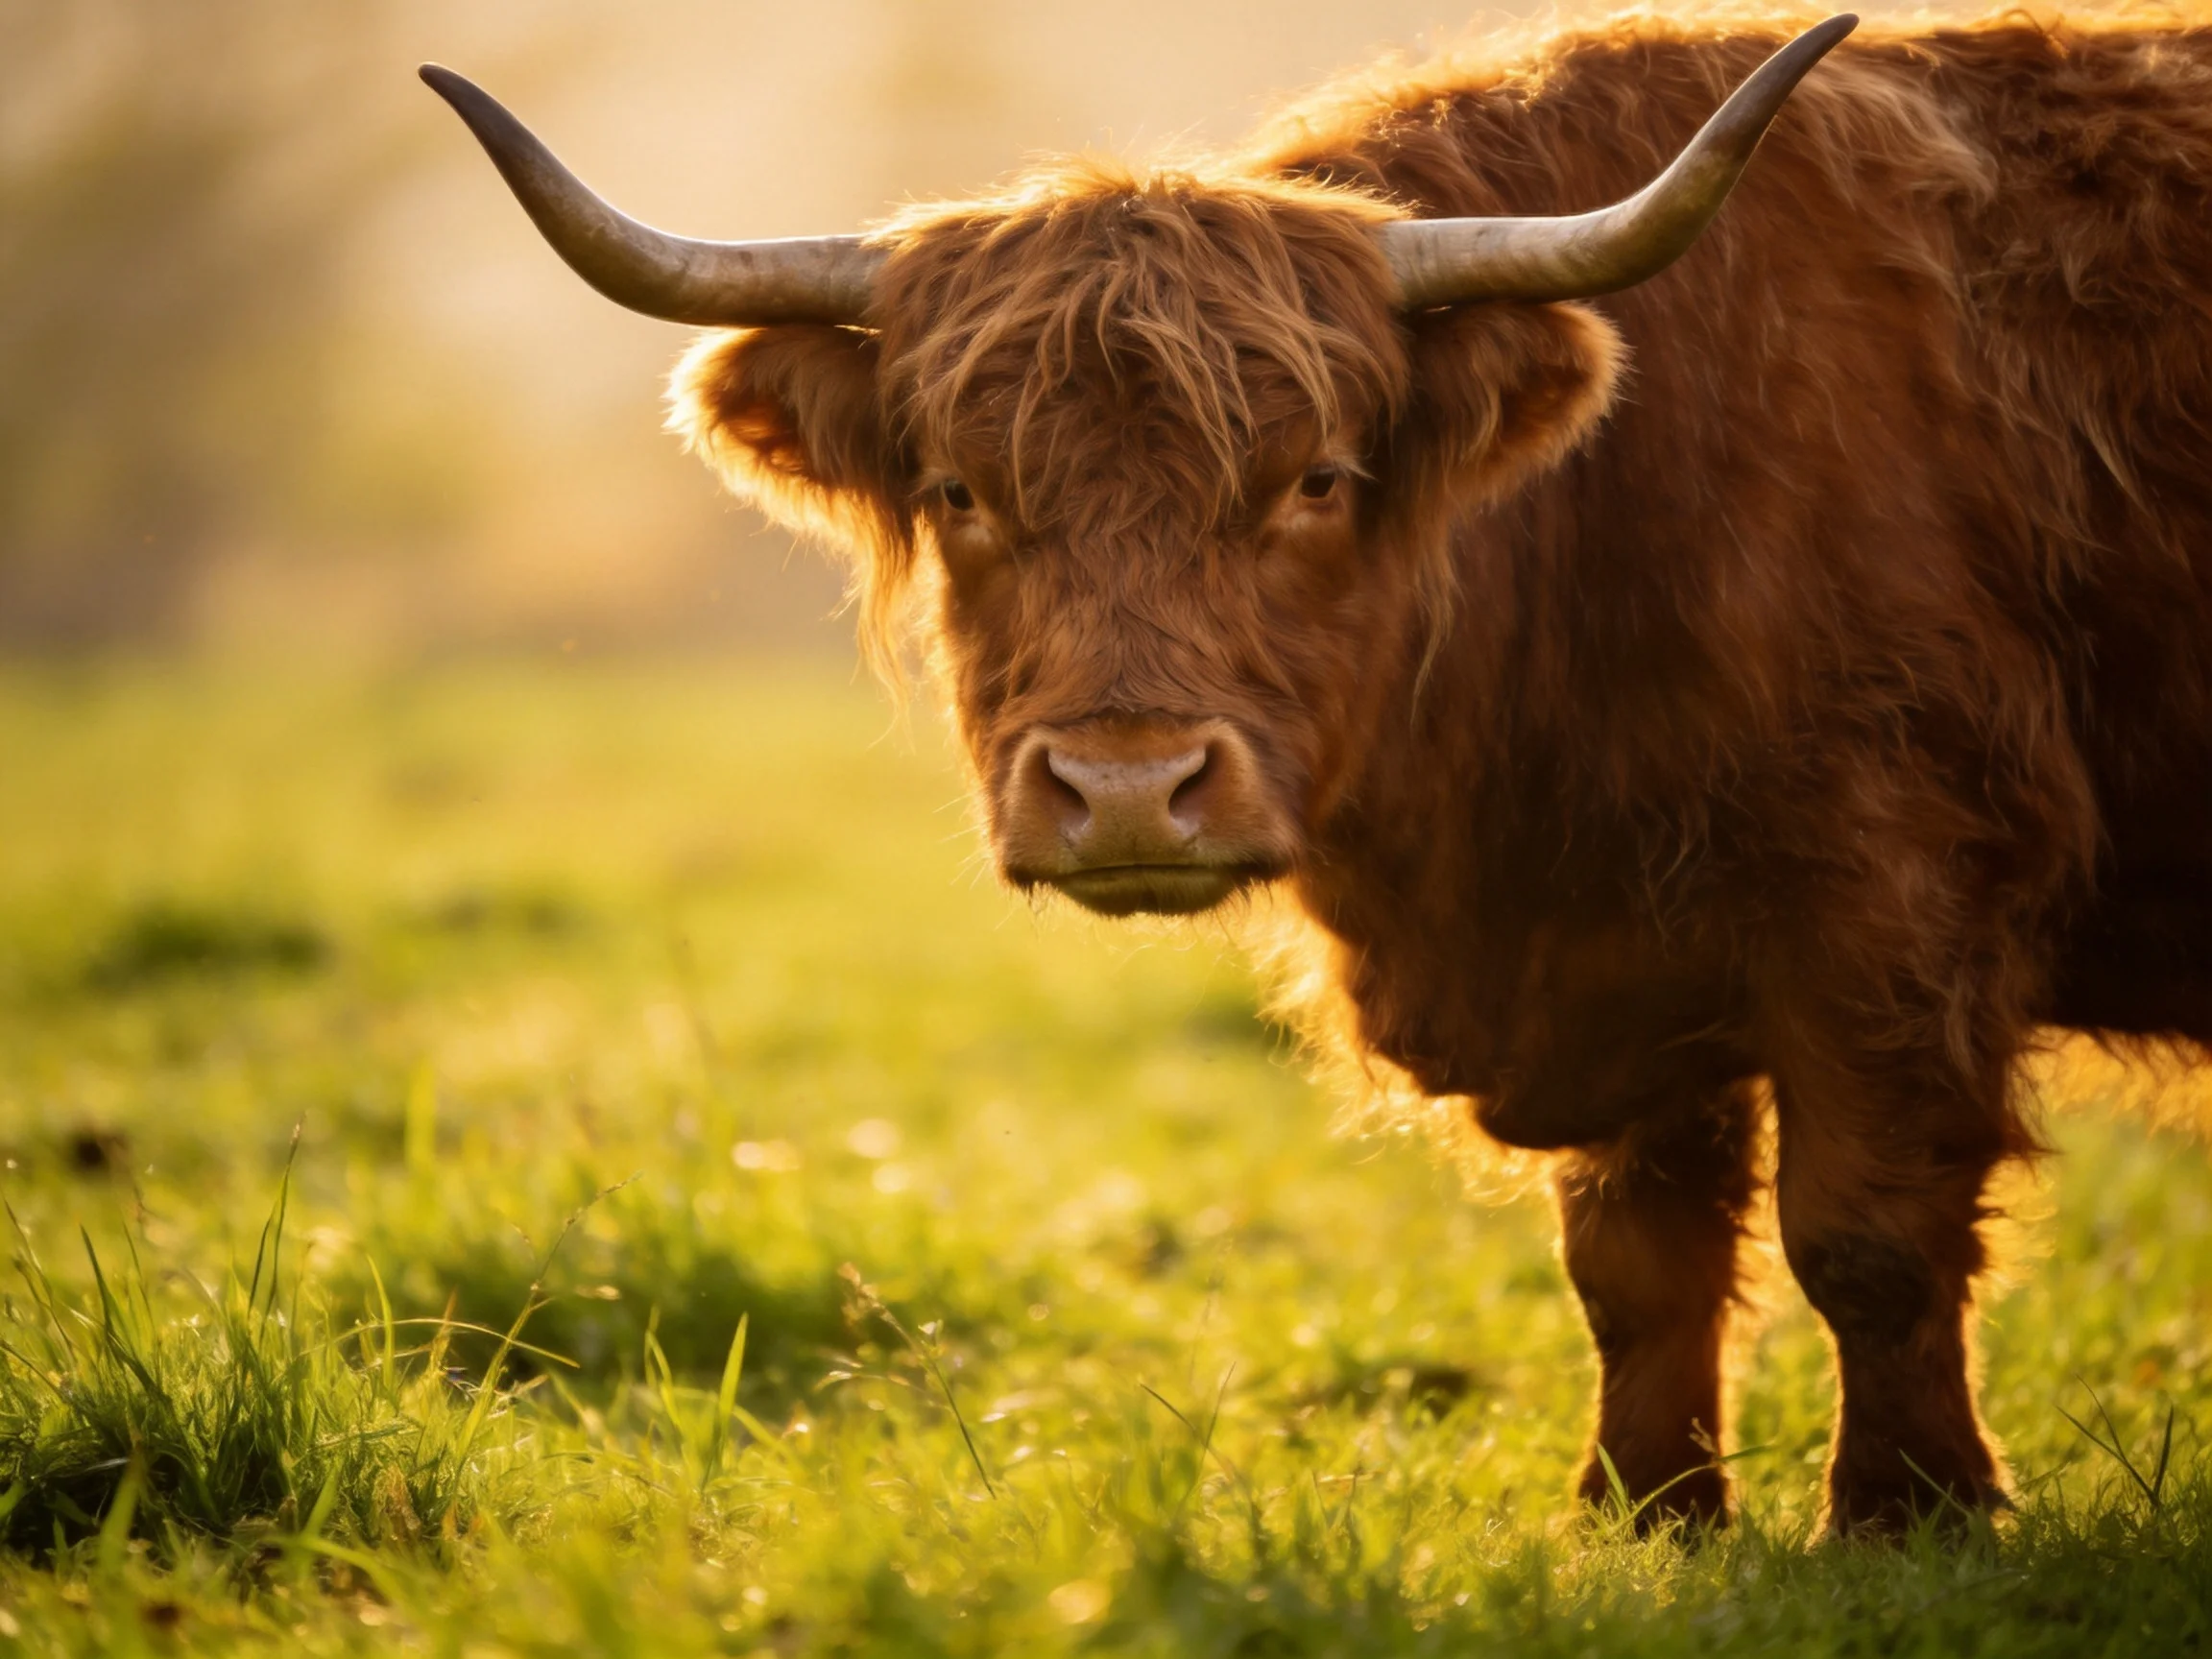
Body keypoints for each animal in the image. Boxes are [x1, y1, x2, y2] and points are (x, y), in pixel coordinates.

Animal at [423, 7, 2212, 1534]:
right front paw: (1647, 1512)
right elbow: (1636, 1259)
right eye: (957, 490)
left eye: (1318, 479)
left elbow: (1865, 1237)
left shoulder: (1891, 895)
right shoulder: (1631, 952)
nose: (1125, 789)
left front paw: (1904, 1514)